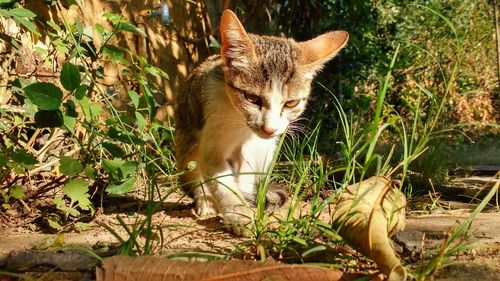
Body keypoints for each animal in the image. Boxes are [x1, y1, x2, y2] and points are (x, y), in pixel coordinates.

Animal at [175, 9, 348, 234]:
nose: (269, 128)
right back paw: (205, 201)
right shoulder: (212, 133)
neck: (241, 126)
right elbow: (220, 177)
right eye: (252, 98)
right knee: (193, 169)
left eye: (291, 103)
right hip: (186, 142)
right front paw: (238, 214)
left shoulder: (256, 146)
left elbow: (246, 174)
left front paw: (245, 203)